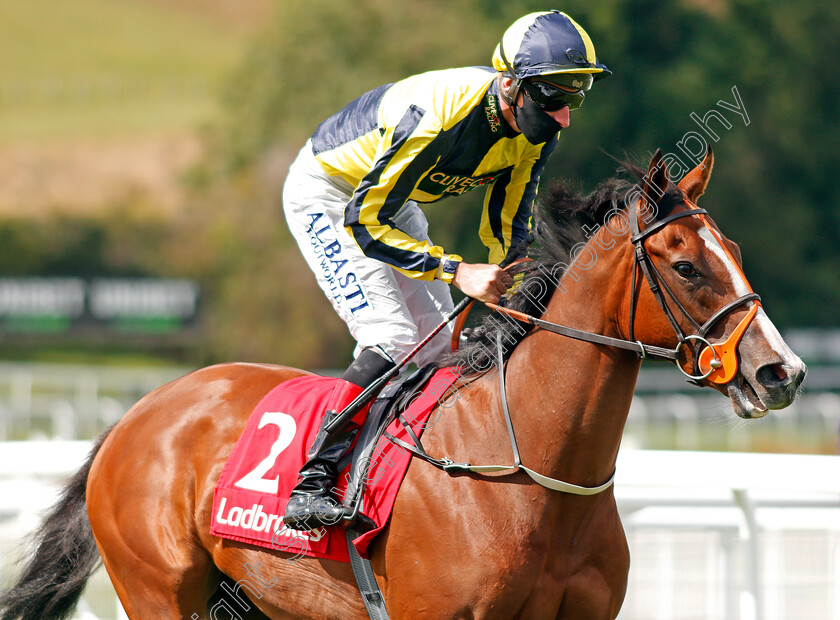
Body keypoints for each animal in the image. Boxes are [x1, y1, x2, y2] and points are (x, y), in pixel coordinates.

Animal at [0, 151, 808, 620]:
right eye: (686, 266)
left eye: (734, 250)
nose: (782, 372)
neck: (533, 472)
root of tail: (141, 410)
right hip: (158, 589)